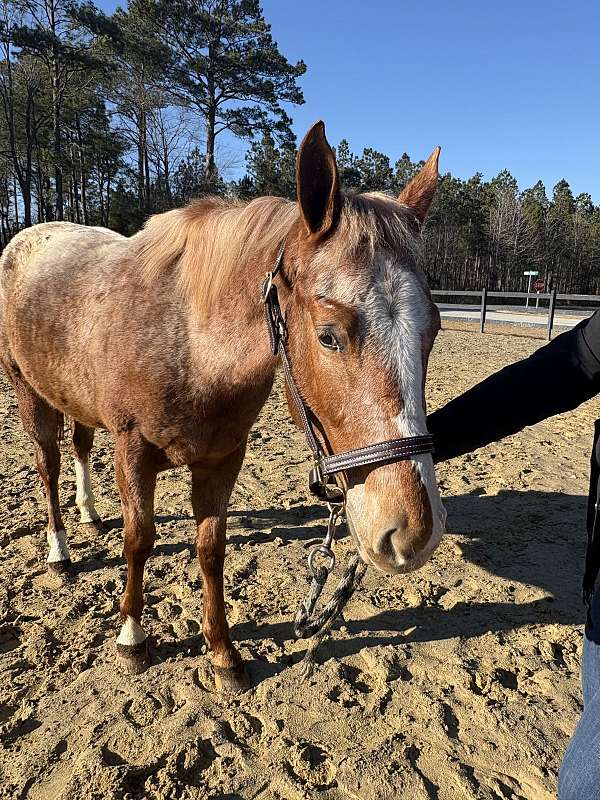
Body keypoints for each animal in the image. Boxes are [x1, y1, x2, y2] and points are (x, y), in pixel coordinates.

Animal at [0, 122, 446, 692]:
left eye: (432, 331)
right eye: (329, 336)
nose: (412, 533)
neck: (189, 343)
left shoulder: (223, 458)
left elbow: (211, 549)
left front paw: (222, 652)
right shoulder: (132, 450)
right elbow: (139, 540)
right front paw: (132, 637)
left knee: (78, 448)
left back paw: (90, 512)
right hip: (29, 393)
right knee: (49, 466)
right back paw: (59, 549)